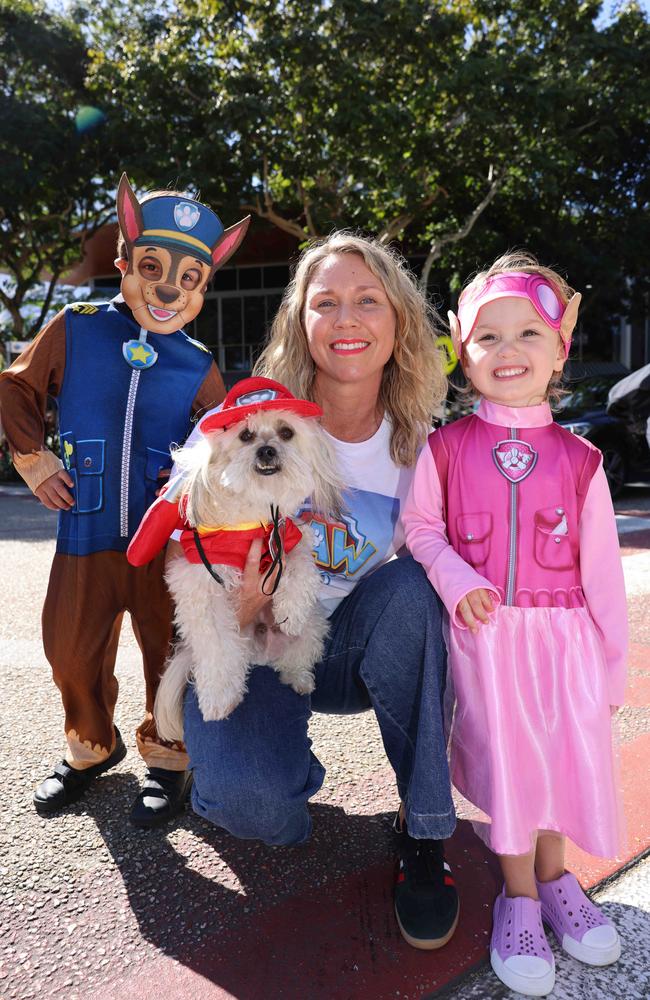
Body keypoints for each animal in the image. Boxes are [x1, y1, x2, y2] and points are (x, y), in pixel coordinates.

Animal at [126, 378, 340, 740]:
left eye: (286, 432)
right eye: (246, 435)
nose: (266, 450)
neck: (255, 513)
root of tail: (262, 652)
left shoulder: (289, 535)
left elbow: (300, 567)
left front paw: (290, 610)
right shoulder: (199, 583)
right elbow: (217, 647)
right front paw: (219, 700)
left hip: (313, 627)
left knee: (295, 656)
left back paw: (298, 678)